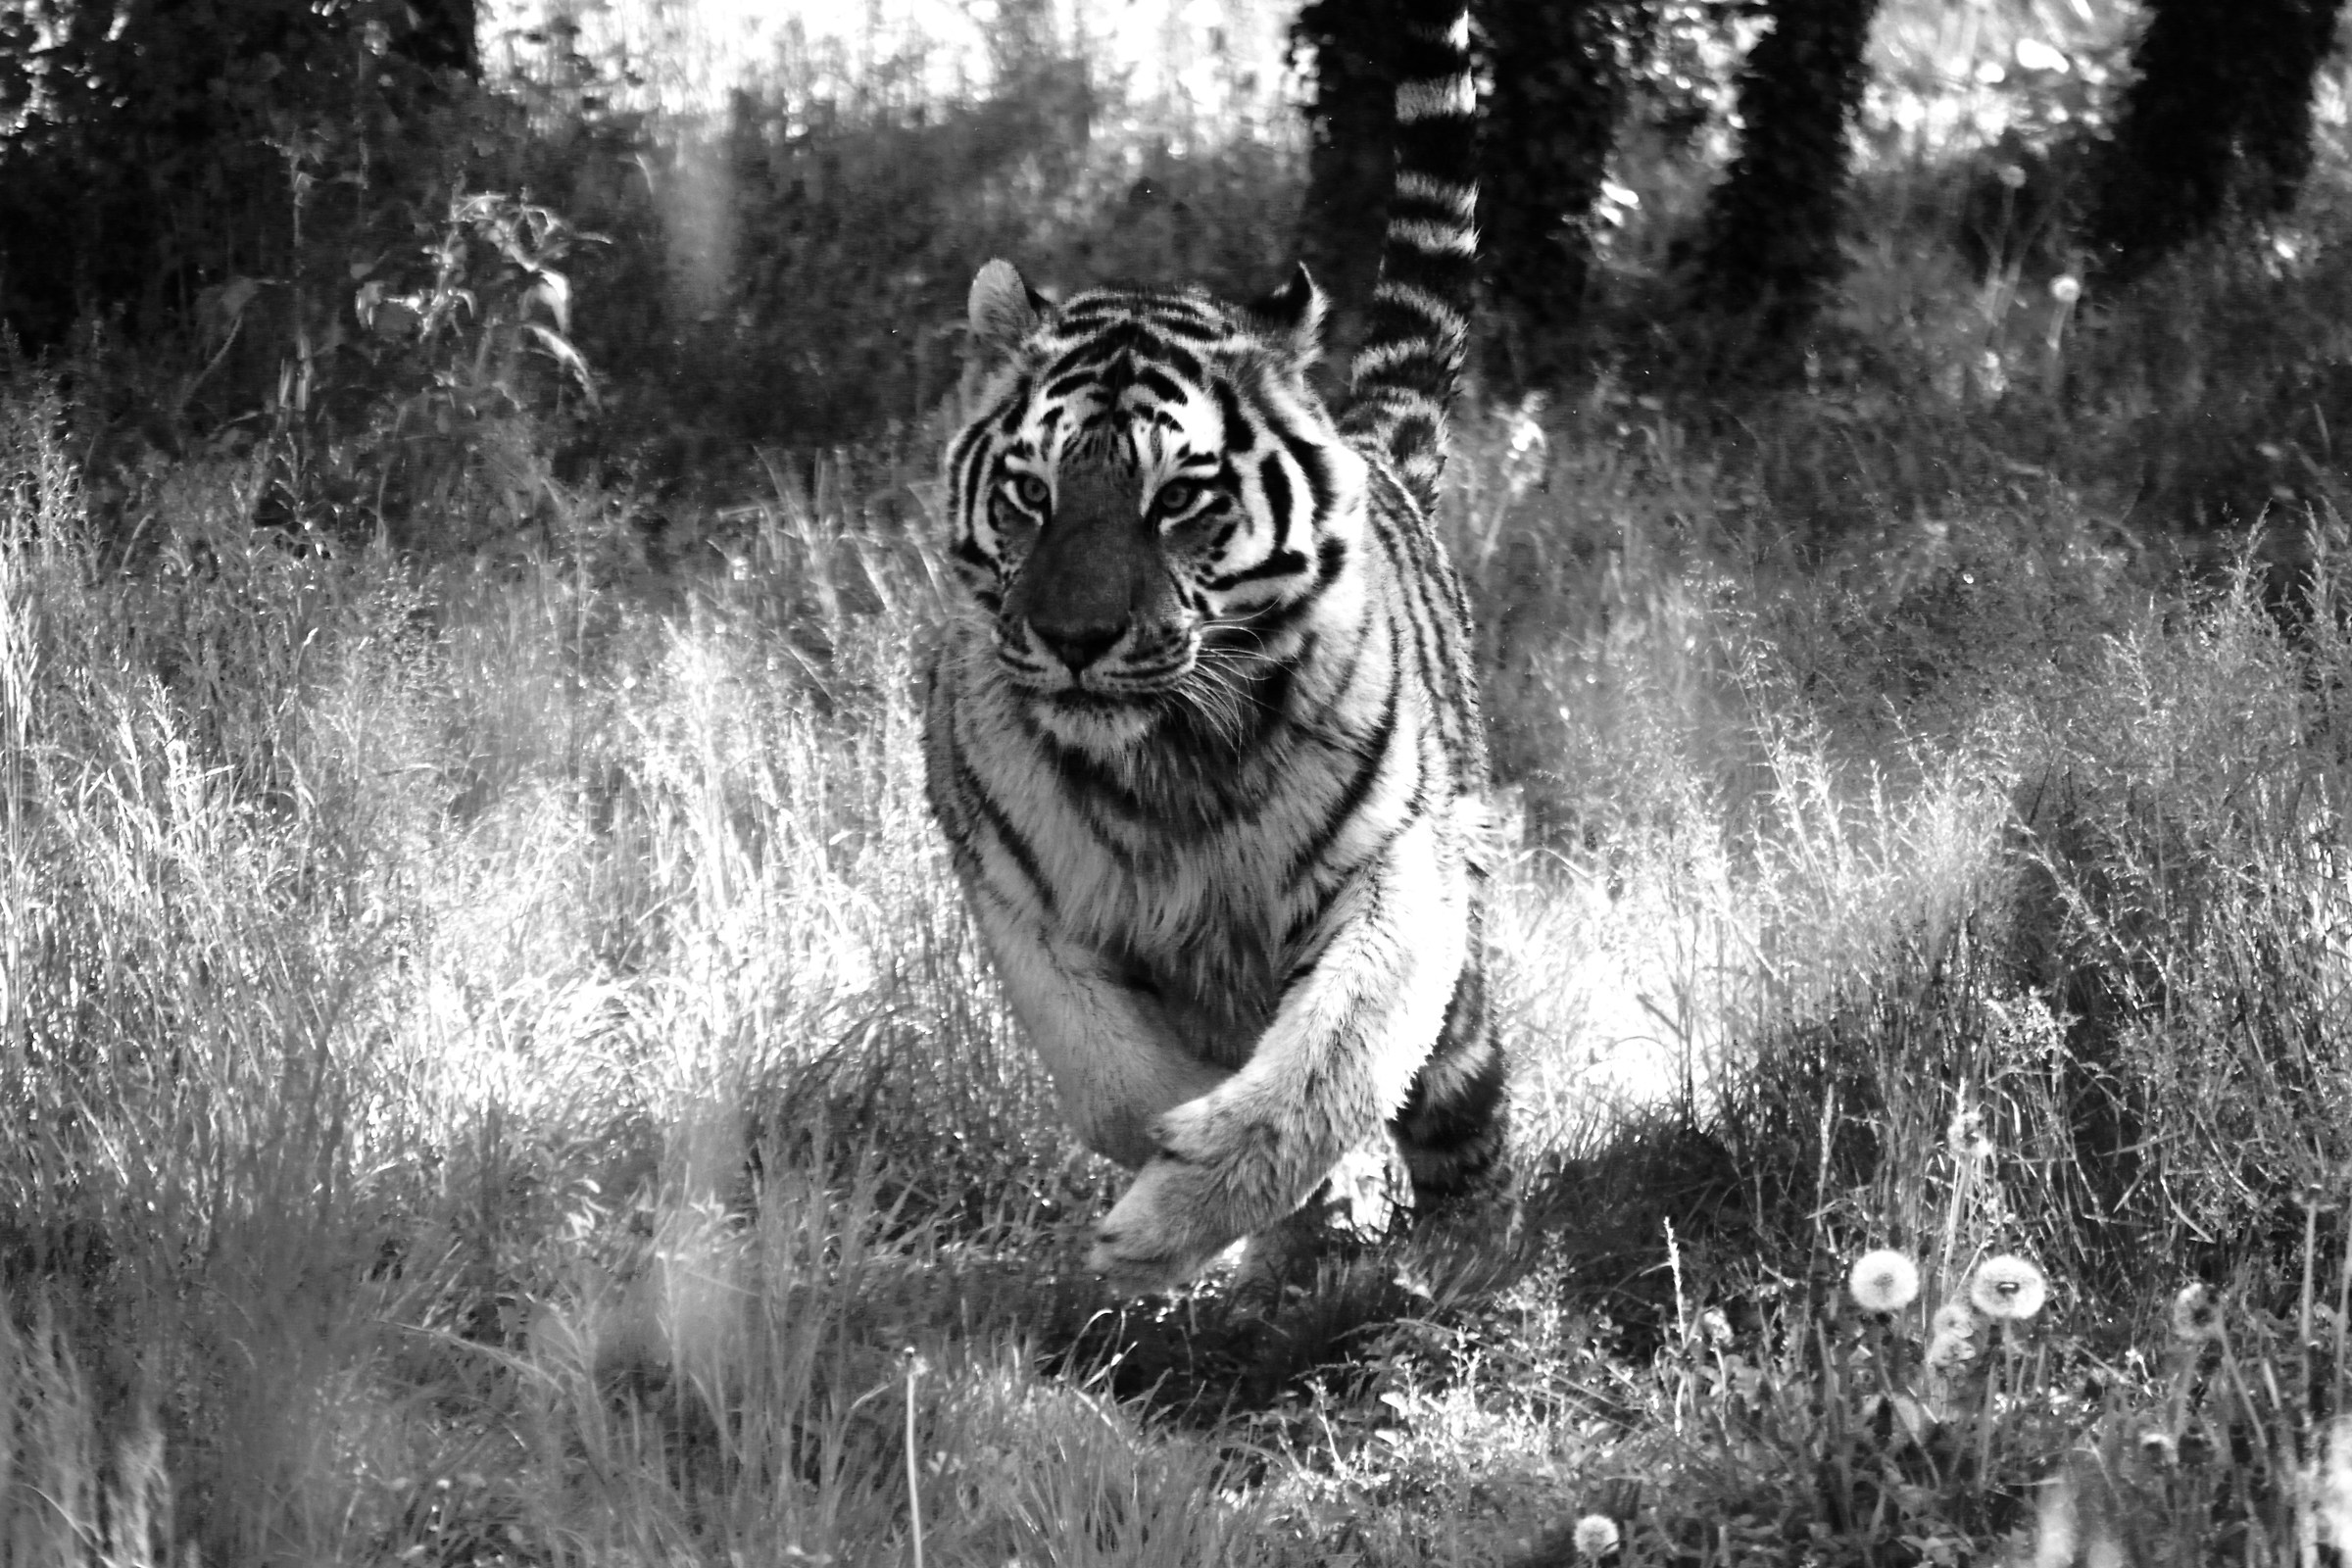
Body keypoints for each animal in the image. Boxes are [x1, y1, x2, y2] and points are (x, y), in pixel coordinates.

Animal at [922, 0, 1501, 1298]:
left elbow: (1337, 1059)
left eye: (1176, 498)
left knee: (1461, 1115)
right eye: (1030, 493)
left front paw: (1182, 1212)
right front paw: (1185, 1205)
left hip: (1467, 1006)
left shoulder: (1398, 870)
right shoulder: (1025, 902)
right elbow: (1110, 1078)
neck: (1163, 764)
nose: (1075, 638)